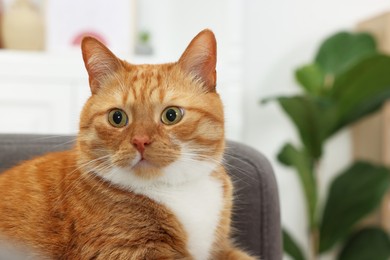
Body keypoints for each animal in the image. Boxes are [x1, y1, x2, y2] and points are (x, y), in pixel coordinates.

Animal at [0, 29, 256, 258]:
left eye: (171, 115)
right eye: (117, 117)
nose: (140, 141)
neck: (174, 188)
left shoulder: (221, 248)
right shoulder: (126, 251)